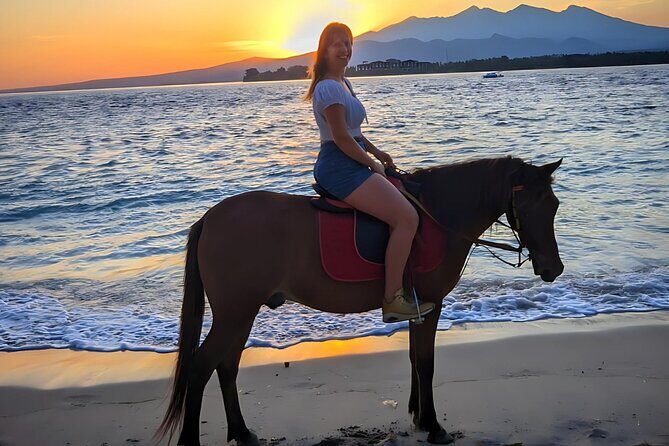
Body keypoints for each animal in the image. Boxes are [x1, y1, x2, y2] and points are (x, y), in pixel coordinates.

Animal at [153, 156, 564, 445]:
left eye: (555, 205)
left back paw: (242, 433)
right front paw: (433, 426)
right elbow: (426, 364)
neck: (439, 213)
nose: (554, 268)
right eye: (530, 206)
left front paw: (418, 416)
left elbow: (414, 359)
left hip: (241, 313)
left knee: (226, 367)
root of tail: (210, 218)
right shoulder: (431, 304)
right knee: (200, 367)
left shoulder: (418, 306)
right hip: (235, 313)